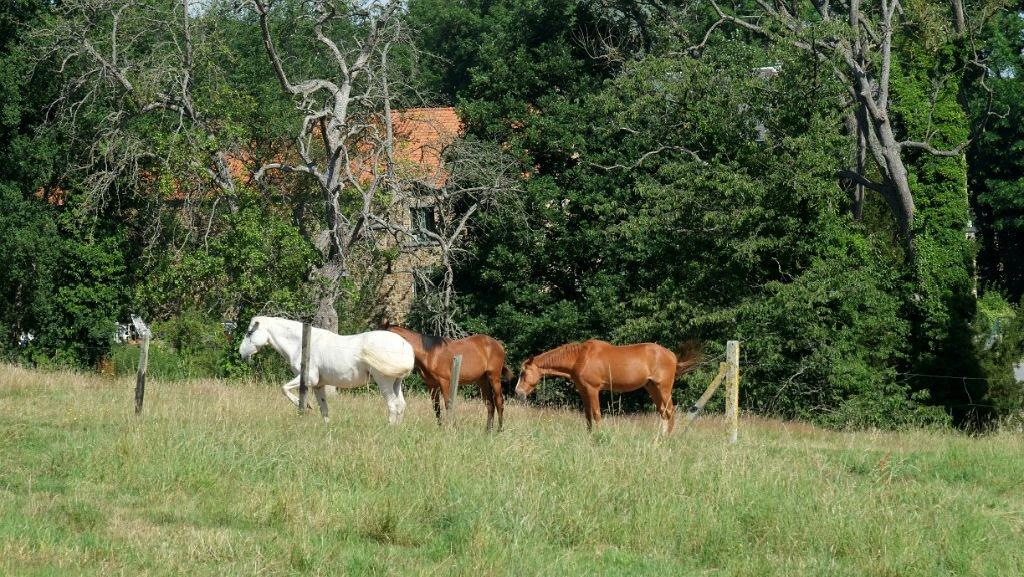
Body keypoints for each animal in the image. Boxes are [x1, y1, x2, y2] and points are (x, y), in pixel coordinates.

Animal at [237, 315, 413, 424]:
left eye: (249, 332)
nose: (241, 353)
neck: (301, 344)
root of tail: (404, 345)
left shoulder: (308, 379)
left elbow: (284, 388)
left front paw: (305, 406)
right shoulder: (318, 384)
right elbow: (324, 409)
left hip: (384, 381)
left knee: (393, 405)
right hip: (396, 383)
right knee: (401, 405)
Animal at [516, 338, 700, 434]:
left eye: (523, 373)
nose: (518, 392)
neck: (580, 357)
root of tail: (672, 356)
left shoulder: (593, 389)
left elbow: (597, 414)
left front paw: (599, 436)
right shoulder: (583, 391)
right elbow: (588, 416)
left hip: (664, 388)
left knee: (670, 411)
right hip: (652, 387)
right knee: (663, 412)